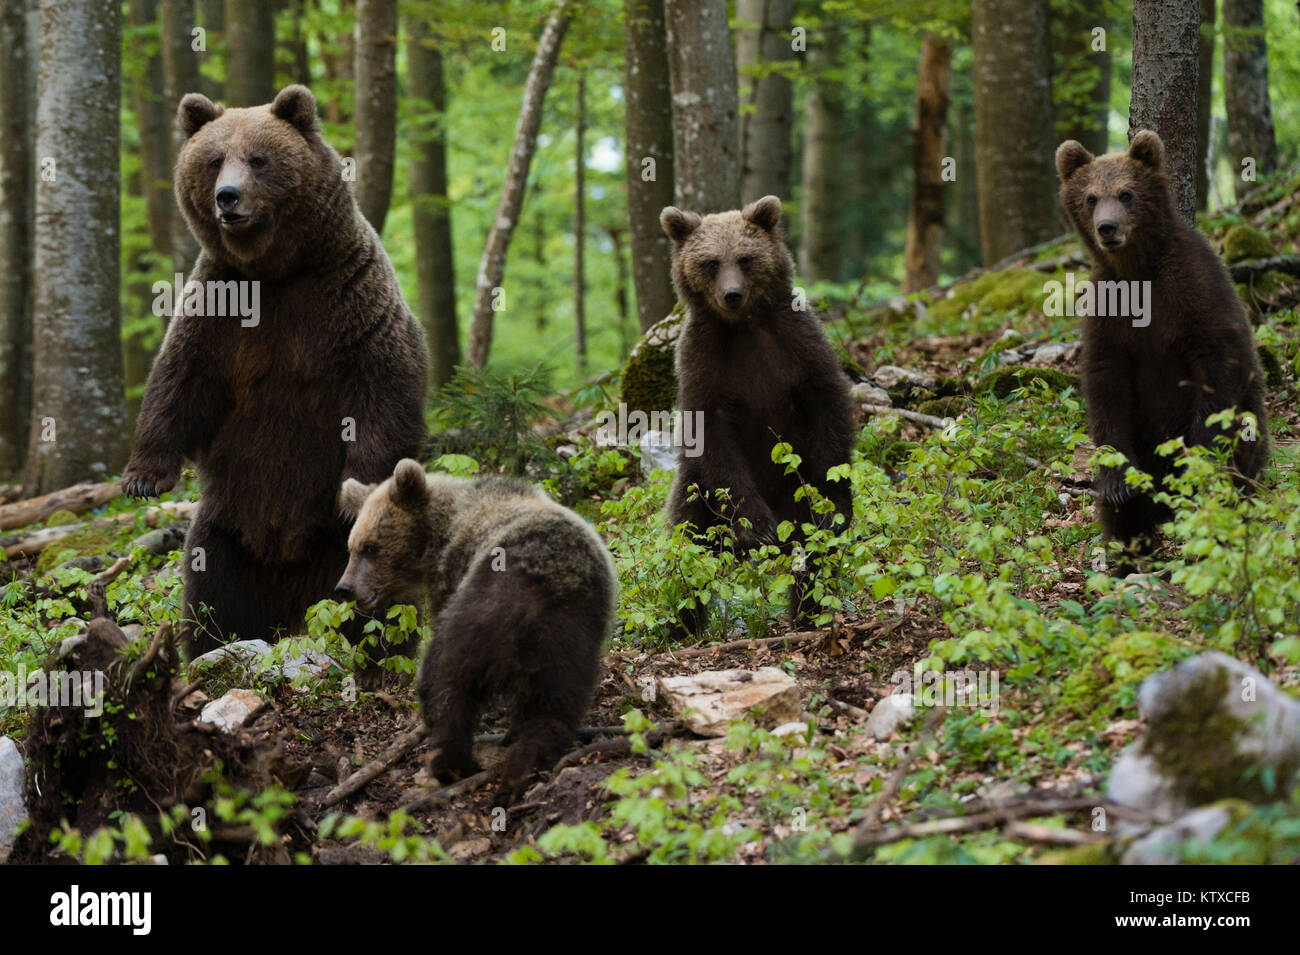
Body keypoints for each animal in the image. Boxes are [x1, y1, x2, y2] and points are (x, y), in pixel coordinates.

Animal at [122, 85, 428, 660]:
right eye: (214, 159)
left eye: (259, 158)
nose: (228, 197)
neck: (273, 273)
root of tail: (291, 603)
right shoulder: (219, 311)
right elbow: (179, 381)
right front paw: (143, 478)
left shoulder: (349, 299)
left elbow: (382, 387)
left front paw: (356, 489)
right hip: (225, 528)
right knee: (210, 591)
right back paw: (207, 646)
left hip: (342, 552)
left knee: (377, 599)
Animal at [335, 462, 618, 800]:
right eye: (351, 547)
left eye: (371, 547)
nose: (345, 588)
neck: (441, 534)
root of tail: (537, 594)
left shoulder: (451, 577)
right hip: (572, 633)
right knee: (556, 703)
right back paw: (526, 759)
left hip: (478, 610)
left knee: (446, 678)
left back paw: (450, 763)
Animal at [660, 193, 852, 628]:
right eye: (711, 262)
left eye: (745, 258)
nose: (732, 294)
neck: (742, 326)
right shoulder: (702, 362)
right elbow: (710, 432)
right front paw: (758, 526)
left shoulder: (797, 343)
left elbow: (828, 406)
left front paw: (831, 505)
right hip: (696, 494)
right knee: (687, 551)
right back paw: (685, 624)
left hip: (793, 494)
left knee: (815, 557)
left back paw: (807, 614)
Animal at [1055, 133, 1268, 566]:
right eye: (1090, 197)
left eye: (1126, 193)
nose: (1107, 227)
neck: (1138, 272)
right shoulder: (1109, 314)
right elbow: (1105, 384)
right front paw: (1117, 483)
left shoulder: (1195, 293)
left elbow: (1217, 366)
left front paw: (1197, 456)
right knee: (1124, 511)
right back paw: (1125, 555)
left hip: (1250, 424)